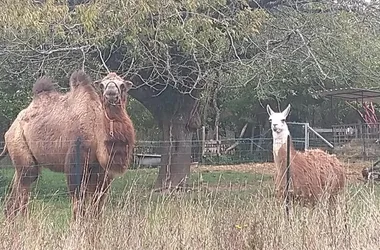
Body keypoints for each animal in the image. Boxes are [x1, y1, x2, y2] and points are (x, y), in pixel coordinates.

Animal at [0, 70, 136, 219]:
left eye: (122, 85)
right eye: (102, 85)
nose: (111, 93)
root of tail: (11, 128)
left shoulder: (102, 171)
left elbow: (98, 203)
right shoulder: (75, 161)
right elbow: (78, 201)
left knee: (16, 185)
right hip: (19, 143)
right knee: (26, 181)